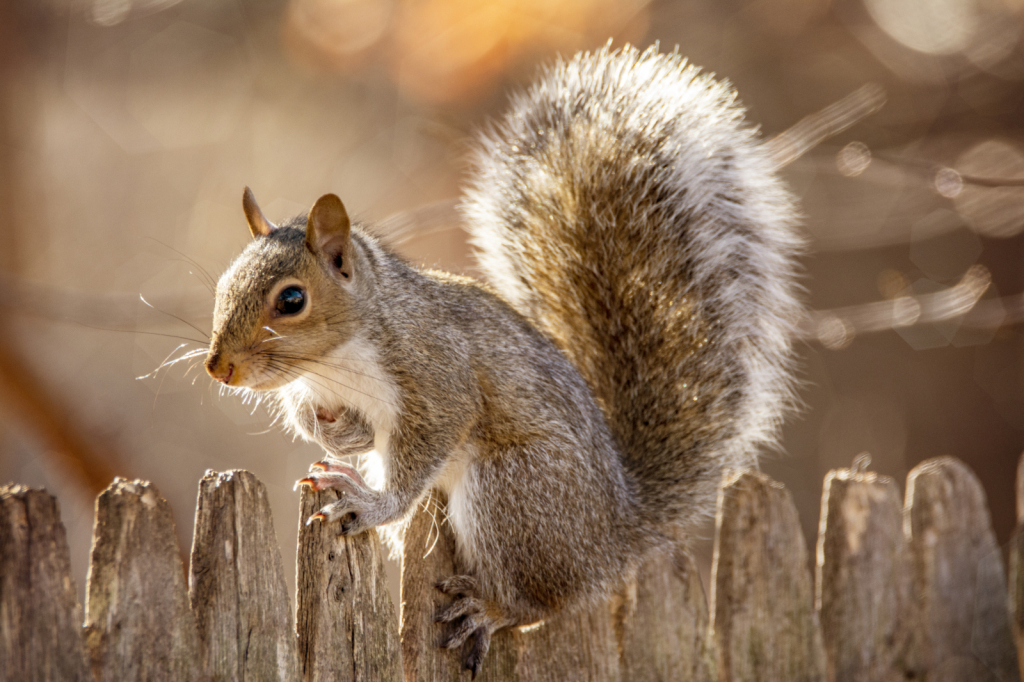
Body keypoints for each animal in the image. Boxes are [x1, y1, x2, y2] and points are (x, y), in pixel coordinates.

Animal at [203, 43, 802, 675]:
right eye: (223, 284)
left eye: (292, 300)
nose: (218, 367)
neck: (334, 362)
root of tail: (616, 535)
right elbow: (332, 423)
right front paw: (336, 434)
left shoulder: (438, 377)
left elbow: (421, 454)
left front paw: (374, 502)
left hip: (512, 492)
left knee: (537, 600)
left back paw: (487, 608)